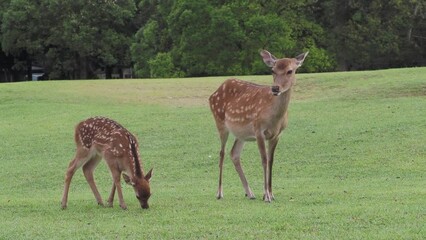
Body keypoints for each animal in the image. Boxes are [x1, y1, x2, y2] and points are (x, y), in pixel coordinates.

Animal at [209, 49, 306, 202]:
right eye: (272, 70)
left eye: (290, 71)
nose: (275, 88)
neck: (275, 118)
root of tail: (212, 95)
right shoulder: (258, 129)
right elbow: (264, 160)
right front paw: (266, 196)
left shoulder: (277, 134)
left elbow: (271, 160)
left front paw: (271, 193)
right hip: (220, 121)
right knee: (222, 153)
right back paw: (219, 193)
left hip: (241, 134)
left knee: (234, 153)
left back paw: (250, 193)